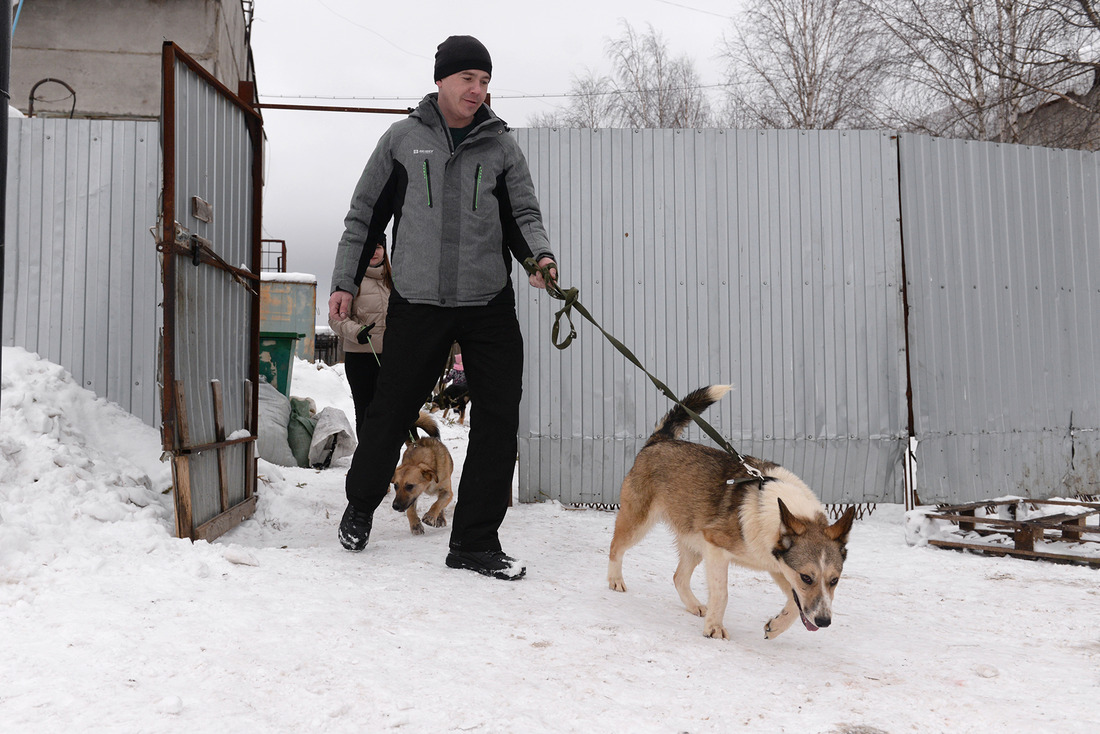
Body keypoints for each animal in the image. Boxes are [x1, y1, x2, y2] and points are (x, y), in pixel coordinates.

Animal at [607, 387, 853, 638]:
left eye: (834, 580)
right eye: (807, 577)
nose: (824, 621)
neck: (775, 510)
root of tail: (660, 440)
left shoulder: (778, 566)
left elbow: (796, 605)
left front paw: (775, 627)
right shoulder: (715, 547)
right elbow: (722, 594)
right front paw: (714, 628)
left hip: (693, 540)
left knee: (679, 577)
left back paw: (693, 605)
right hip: (639, 522)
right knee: (616, 547)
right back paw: (615, 580)